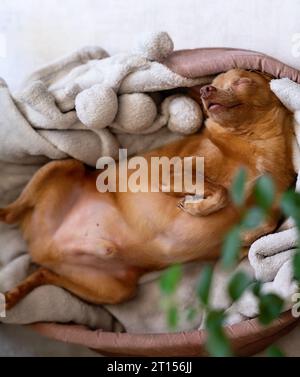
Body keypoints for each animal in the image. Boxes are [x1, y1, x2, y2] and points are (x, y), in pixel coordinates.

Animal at [0, 70, 296, 308]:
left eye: (243, 81)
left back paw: (13, 295)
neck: (252, 147)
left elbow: (269, 222)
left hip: (113, 290)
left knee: (43, 274)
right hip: (62, 165)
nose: (205, 90)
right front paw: (196, 206)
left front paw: (246, 233)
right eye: (213, 83)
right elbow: (219, 190)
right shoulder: (168, 172)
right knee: (12, 212)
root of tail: (38, 246)